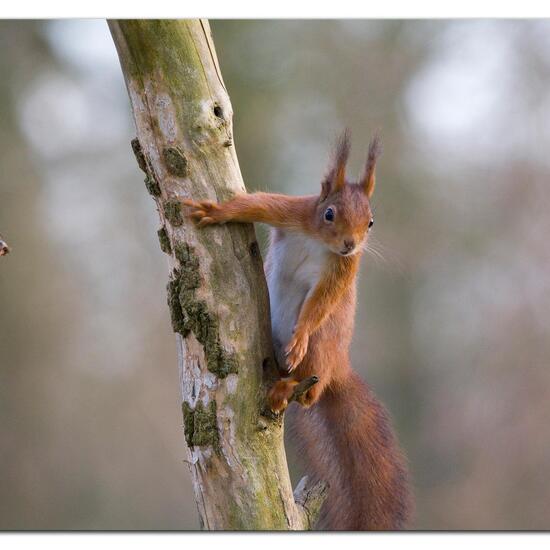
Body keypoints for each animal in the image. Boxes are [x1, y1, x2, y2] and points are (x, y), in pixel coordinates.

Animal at [183, 132, 412, 532]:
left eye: (370, 222)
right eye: (329, 213)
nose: (350, 244)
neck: (320, 241)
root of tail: (338, 368)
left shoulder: (343, 270)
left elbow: (322, 303)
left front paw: (300, 334)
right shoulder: (291, 212)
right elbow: (255, 204)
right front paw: (216, 212)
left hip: (321, 352)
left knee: (310, 394)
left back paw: (287, 388)